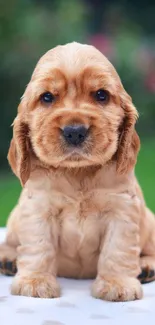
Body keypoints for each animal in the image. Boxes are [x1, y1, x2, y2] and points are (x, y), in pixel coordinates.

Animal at [0, 41, 155, 300]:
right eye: (47, 97)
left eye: (101, 95)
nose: (74, 131)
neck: (78, 172)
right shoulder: (38, 208)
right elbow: (39, 246)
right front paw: (35, 282)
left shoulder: (121, 209)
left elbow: (117, 249)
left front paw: (117, 284)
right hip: (14, 219)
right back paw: (8, 259)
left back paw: (146, 266)